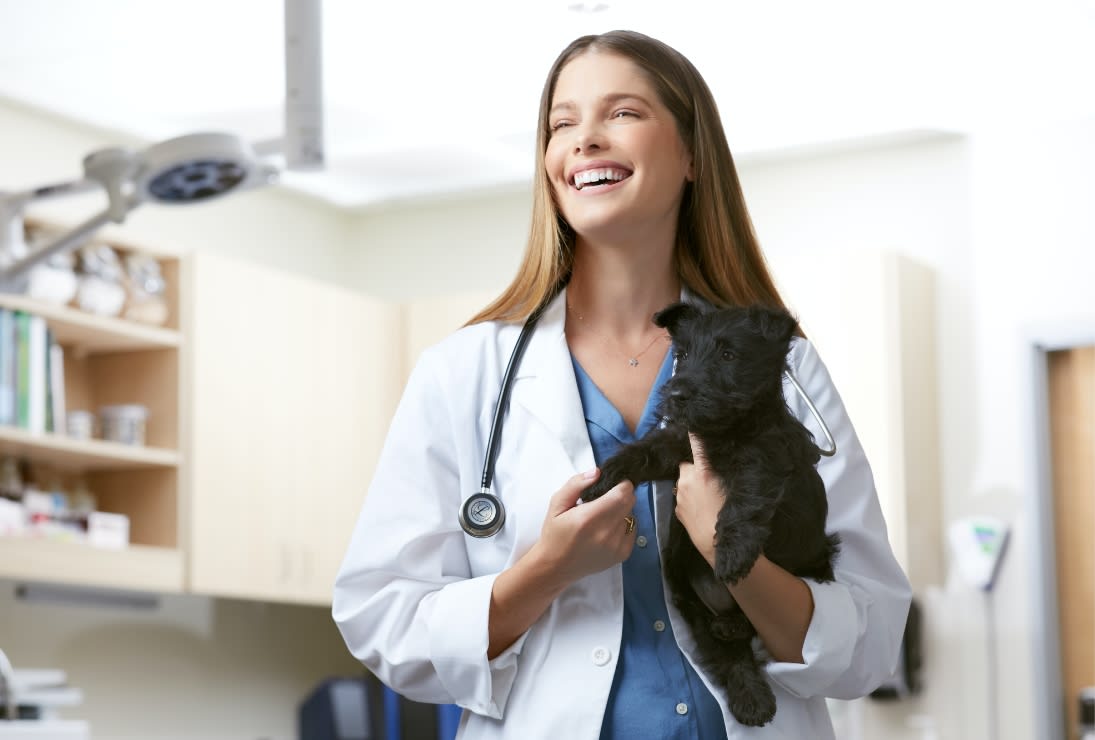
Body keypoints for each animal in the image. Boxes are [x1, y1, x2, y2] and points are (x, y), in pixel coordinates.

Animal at [578, 302, 840, 726]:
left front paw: (731, 554)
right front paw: (600, 482)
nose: (677, 393)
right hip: (683, 586)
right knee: (727, 651)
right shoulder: (675, 443)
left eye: (728, 354)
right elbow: (640, 454)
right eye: (682, 356)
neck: (724, 428)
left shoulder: (764, 457)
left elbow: (744, 501)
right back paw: (750, 695)